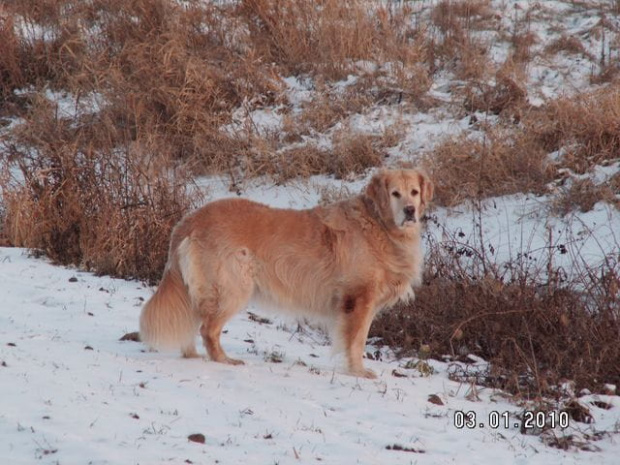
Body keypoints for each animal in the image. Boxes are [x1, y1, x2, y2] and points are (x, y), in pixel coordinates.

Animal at [139, 169, 434, 378]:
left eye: (414, 192)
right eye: (395, 193)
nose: (410, 210)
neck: (379, 224)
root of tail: (189, 221)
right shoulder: (358, 300)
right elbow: (356, 341)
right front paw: (358, 372)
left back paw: (192, 356)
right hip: (233, 287)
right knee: (208, 329)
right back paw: (224, 360)